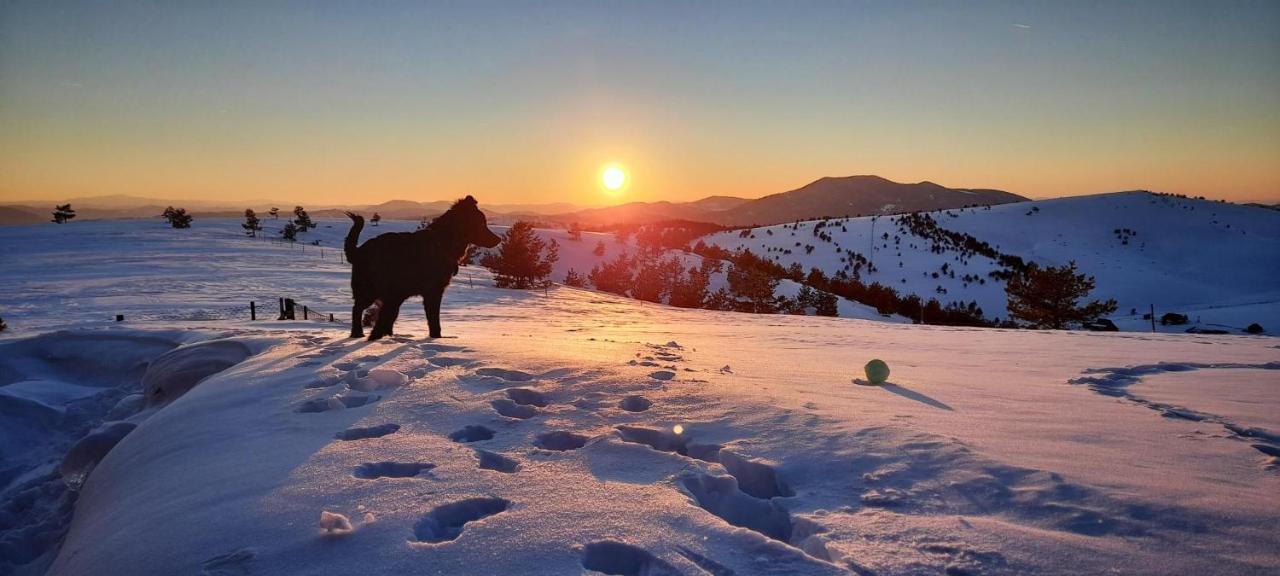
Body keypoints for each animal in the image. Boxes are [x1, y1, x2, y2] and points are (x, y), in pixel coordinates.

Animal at [343, 195, 501, 340]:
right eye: (481, 223)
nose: (498, 240)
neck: (443, 243)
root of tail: (359, 251)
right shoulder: (434, 292)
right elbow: (434, 321)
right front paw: (436, 339)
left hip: (394, 295)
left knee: (382, 315)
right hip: (373, 292)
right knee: (359, 309)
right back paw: (361, 334)